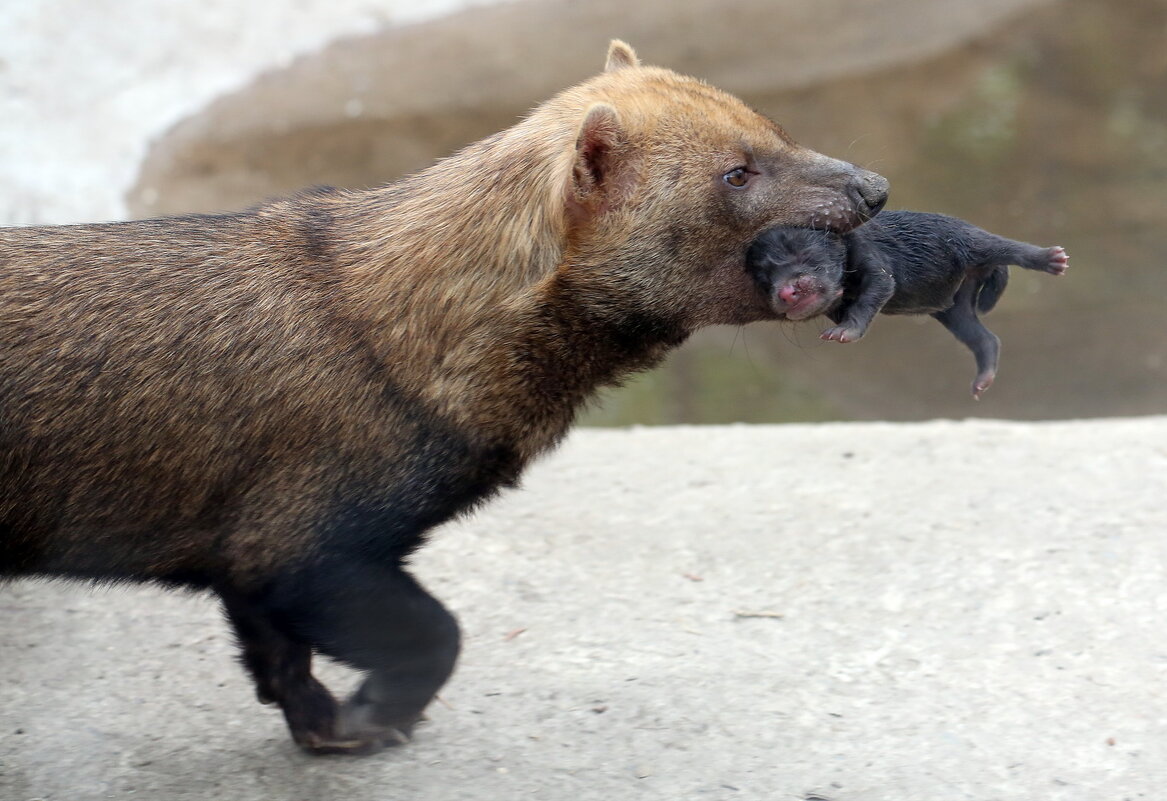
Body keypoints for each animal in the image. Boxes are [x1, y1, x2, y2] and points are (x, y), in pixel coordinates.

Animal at [0, 42, 882, 761]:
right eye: (736, 171)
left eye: (773, 127)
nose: (872, 185)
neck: (398, 336)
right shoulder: (298, 540)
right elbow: (432, 634)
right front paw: (375, 714)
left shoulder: (249, 558)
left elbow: (279, 659)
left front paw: (332, 727)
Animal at [746, 211, 1068, 399]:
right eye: (764, 276)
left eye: (805, 255)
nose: (787, 291)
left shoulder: (873, 260)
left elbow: (873, 292)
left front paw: (845, 331)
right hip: (956, 308)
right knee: (983, 338)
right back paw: (983, 379)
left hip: (971, 241)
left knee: (1009, 246)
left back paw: (1051, 258)